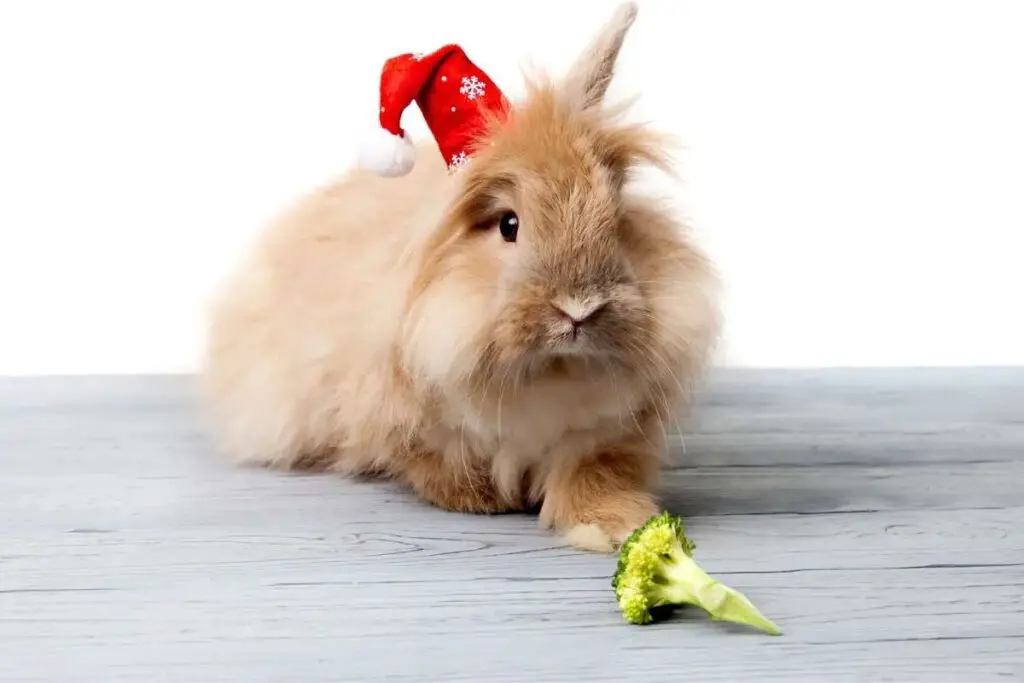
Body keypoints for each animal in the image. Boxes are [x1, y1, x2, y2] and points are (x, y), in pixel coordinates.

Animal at [200, 2, 720, 553]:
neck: (548, 376)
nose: (579, 308)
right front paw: (481, 499)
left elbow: (596, 477)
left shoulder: (606, 436)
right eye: (509, 224)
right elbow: (436, 462)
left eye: (617, 218)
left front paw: (616, 526)